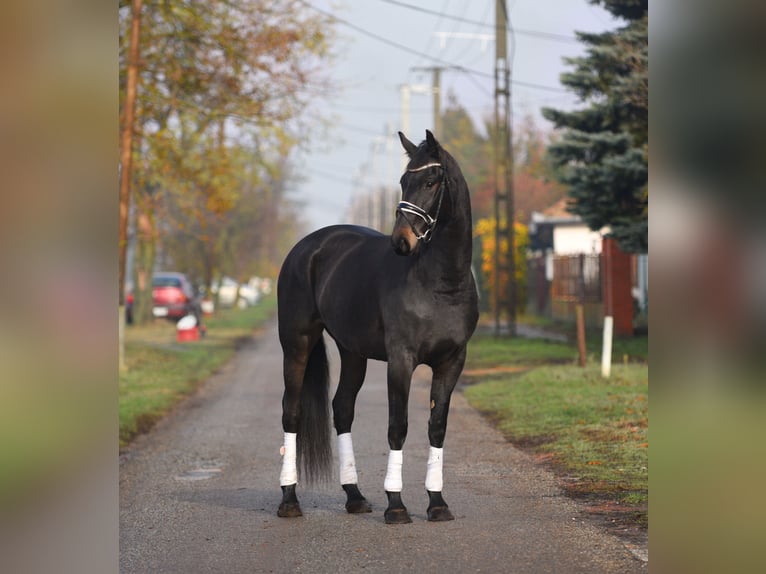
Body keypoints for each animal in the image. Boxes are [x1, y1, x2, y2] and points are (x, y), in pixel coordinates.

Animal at [276, 132, 480, 528]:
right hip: (296, 346)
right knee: (291, 412)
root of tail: (308, 247)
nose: (401, 241)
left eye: (430, 182)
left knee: (342, 409)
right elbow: (397, 427)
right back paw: (289, 500)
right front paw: (396, 505)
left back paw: (355, 497)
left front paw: (437, 503)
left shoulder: (452, 362)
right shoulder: (401, 361)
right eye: (403, 181)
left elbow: (436, 426)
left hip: (353, 353)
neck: (441, 283)